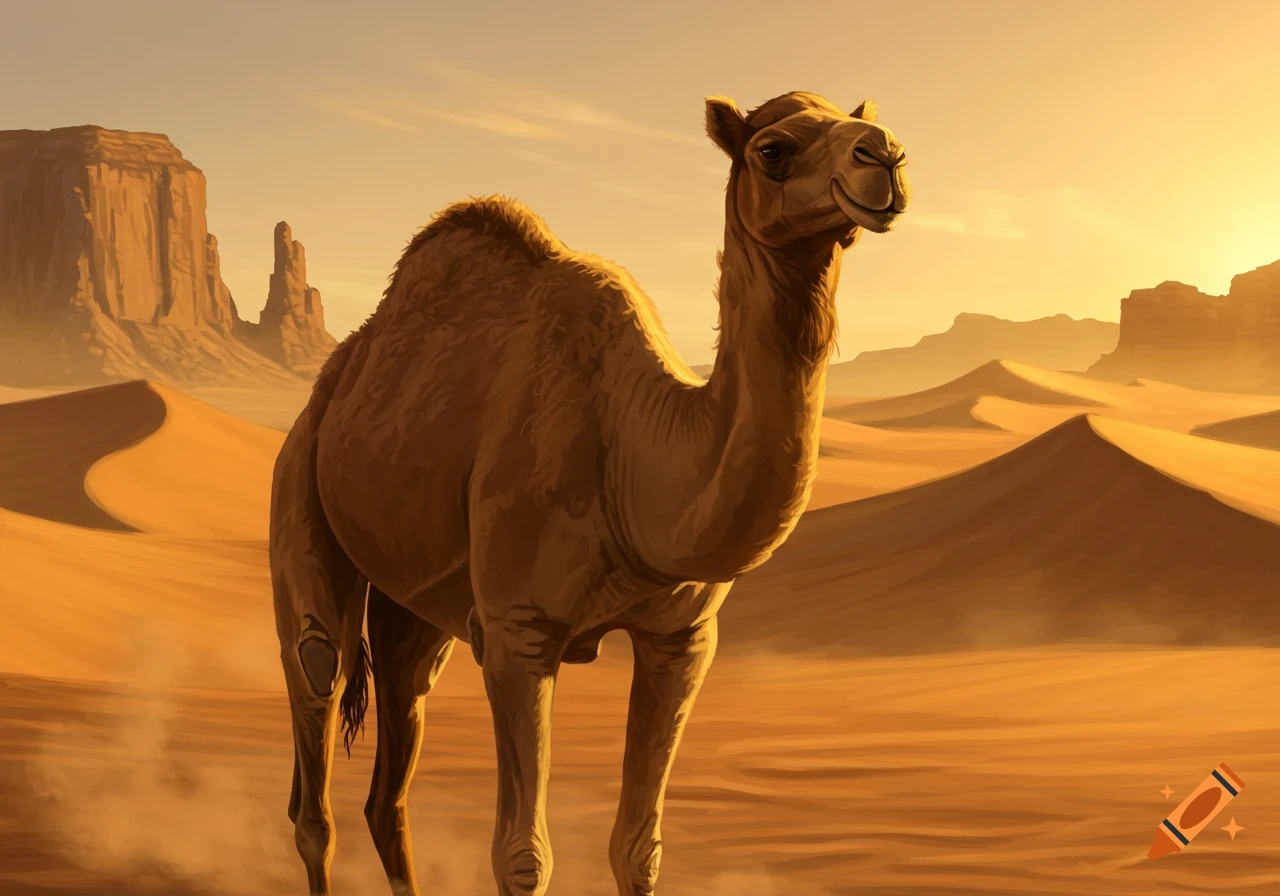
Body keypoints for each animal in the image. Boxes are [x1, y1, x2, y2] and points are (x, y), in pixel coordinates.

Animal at [271, 90, 911, 896]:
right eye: (773, 149)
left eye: (857, 122)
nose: (885, 155)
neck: (633, 456)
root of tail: (333, 382)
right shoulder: (518, 631)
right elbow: (522, 857)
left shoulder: (683, 636)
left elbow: (638, 848)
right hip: (298, 486)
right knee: (315, 712)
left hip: (413, 609)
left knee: (390, 776)